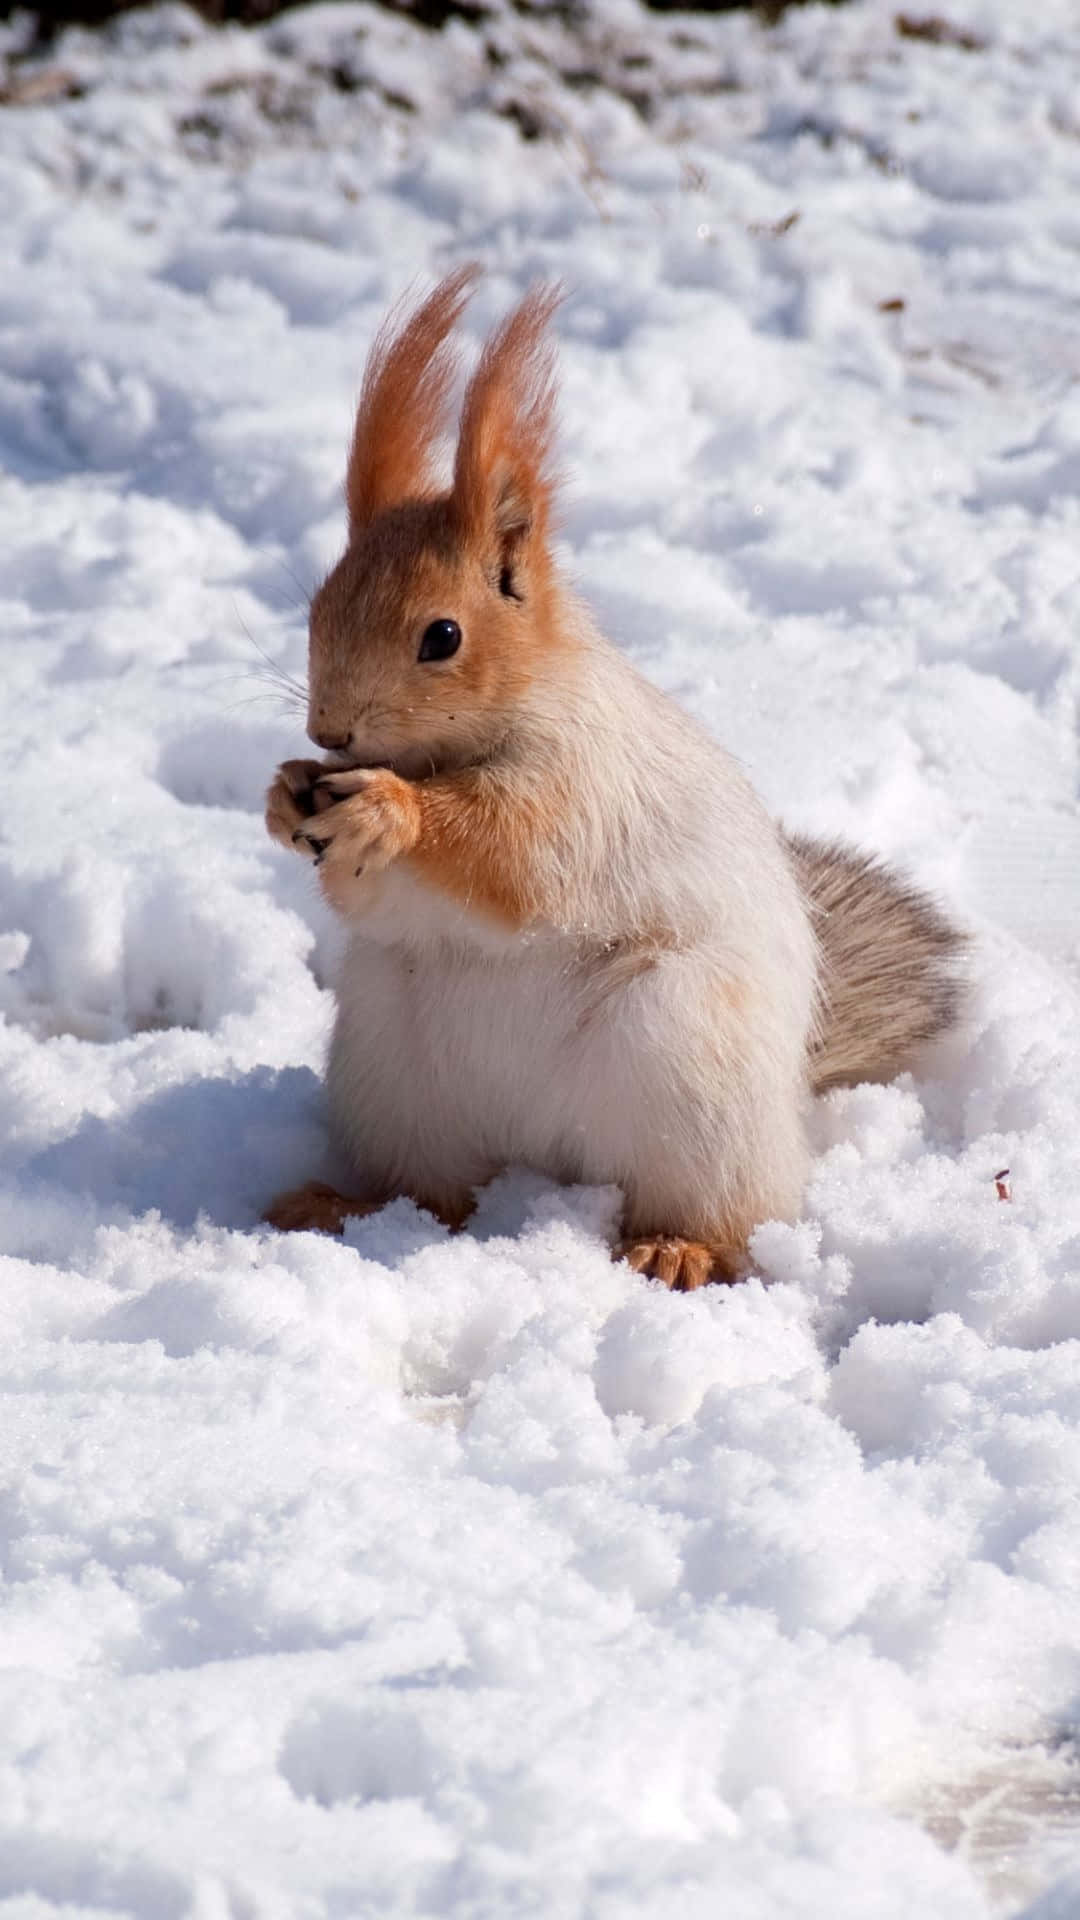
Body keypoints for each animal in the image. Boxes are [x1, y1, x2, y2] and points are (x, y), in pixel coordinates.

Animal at [264, 268, 966, 1290]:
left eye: (443, 636)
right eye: (317, 606)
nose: (330, 731)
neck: (457, 751)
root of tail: (547, 1159)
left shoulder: (581, 790)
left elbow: (515, 859)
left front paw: (394, 812)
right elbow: (376, 903)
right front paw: (288, 796)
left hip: (685, 1061)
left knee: (719, 1214)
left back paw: (677, 1248)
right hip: (392, 1066)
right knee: (436, 1196)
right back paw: (340, 1207)